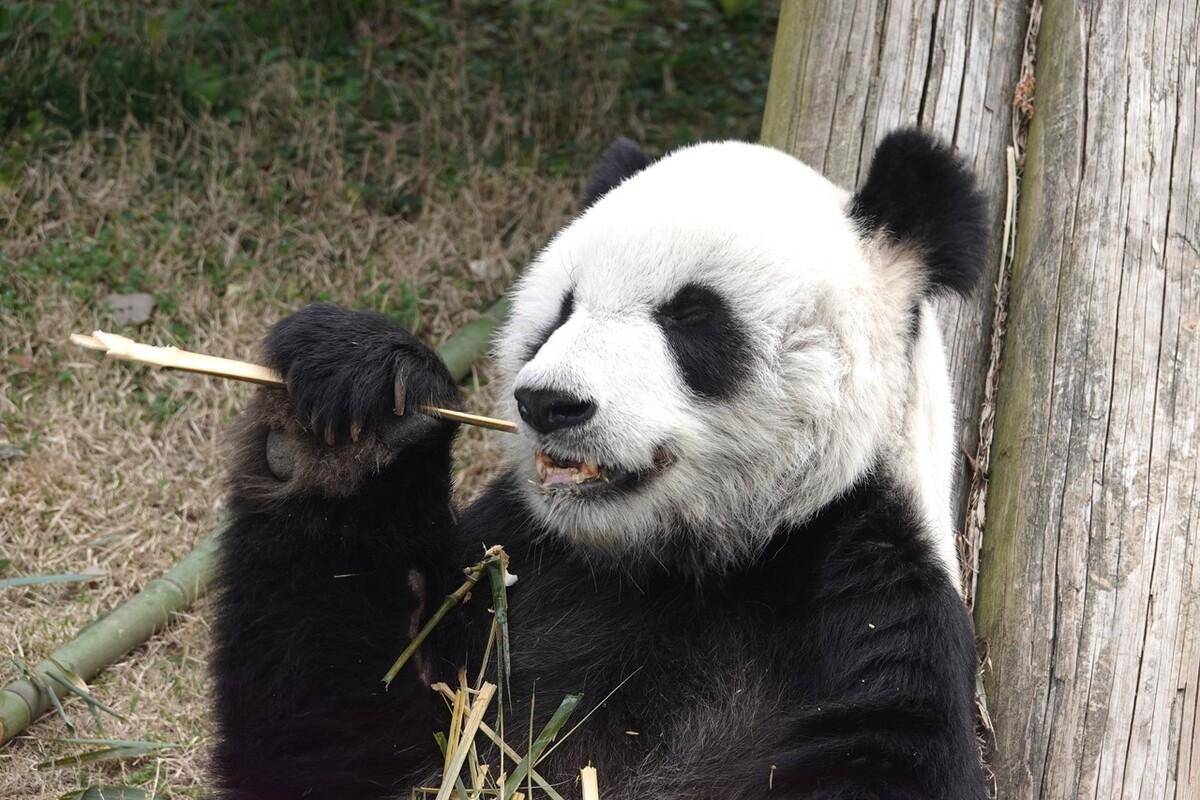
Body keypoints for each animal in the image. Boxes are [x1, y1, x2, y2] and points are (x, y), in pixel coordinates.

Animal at [211, 130, 988, 800]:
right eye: (560, 311)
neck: (693, 564)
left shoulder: (868, 610)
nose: (549, 402)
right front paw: (351, 413)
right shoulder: (521, 572)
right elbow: (333, 740)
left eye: (691, 317)